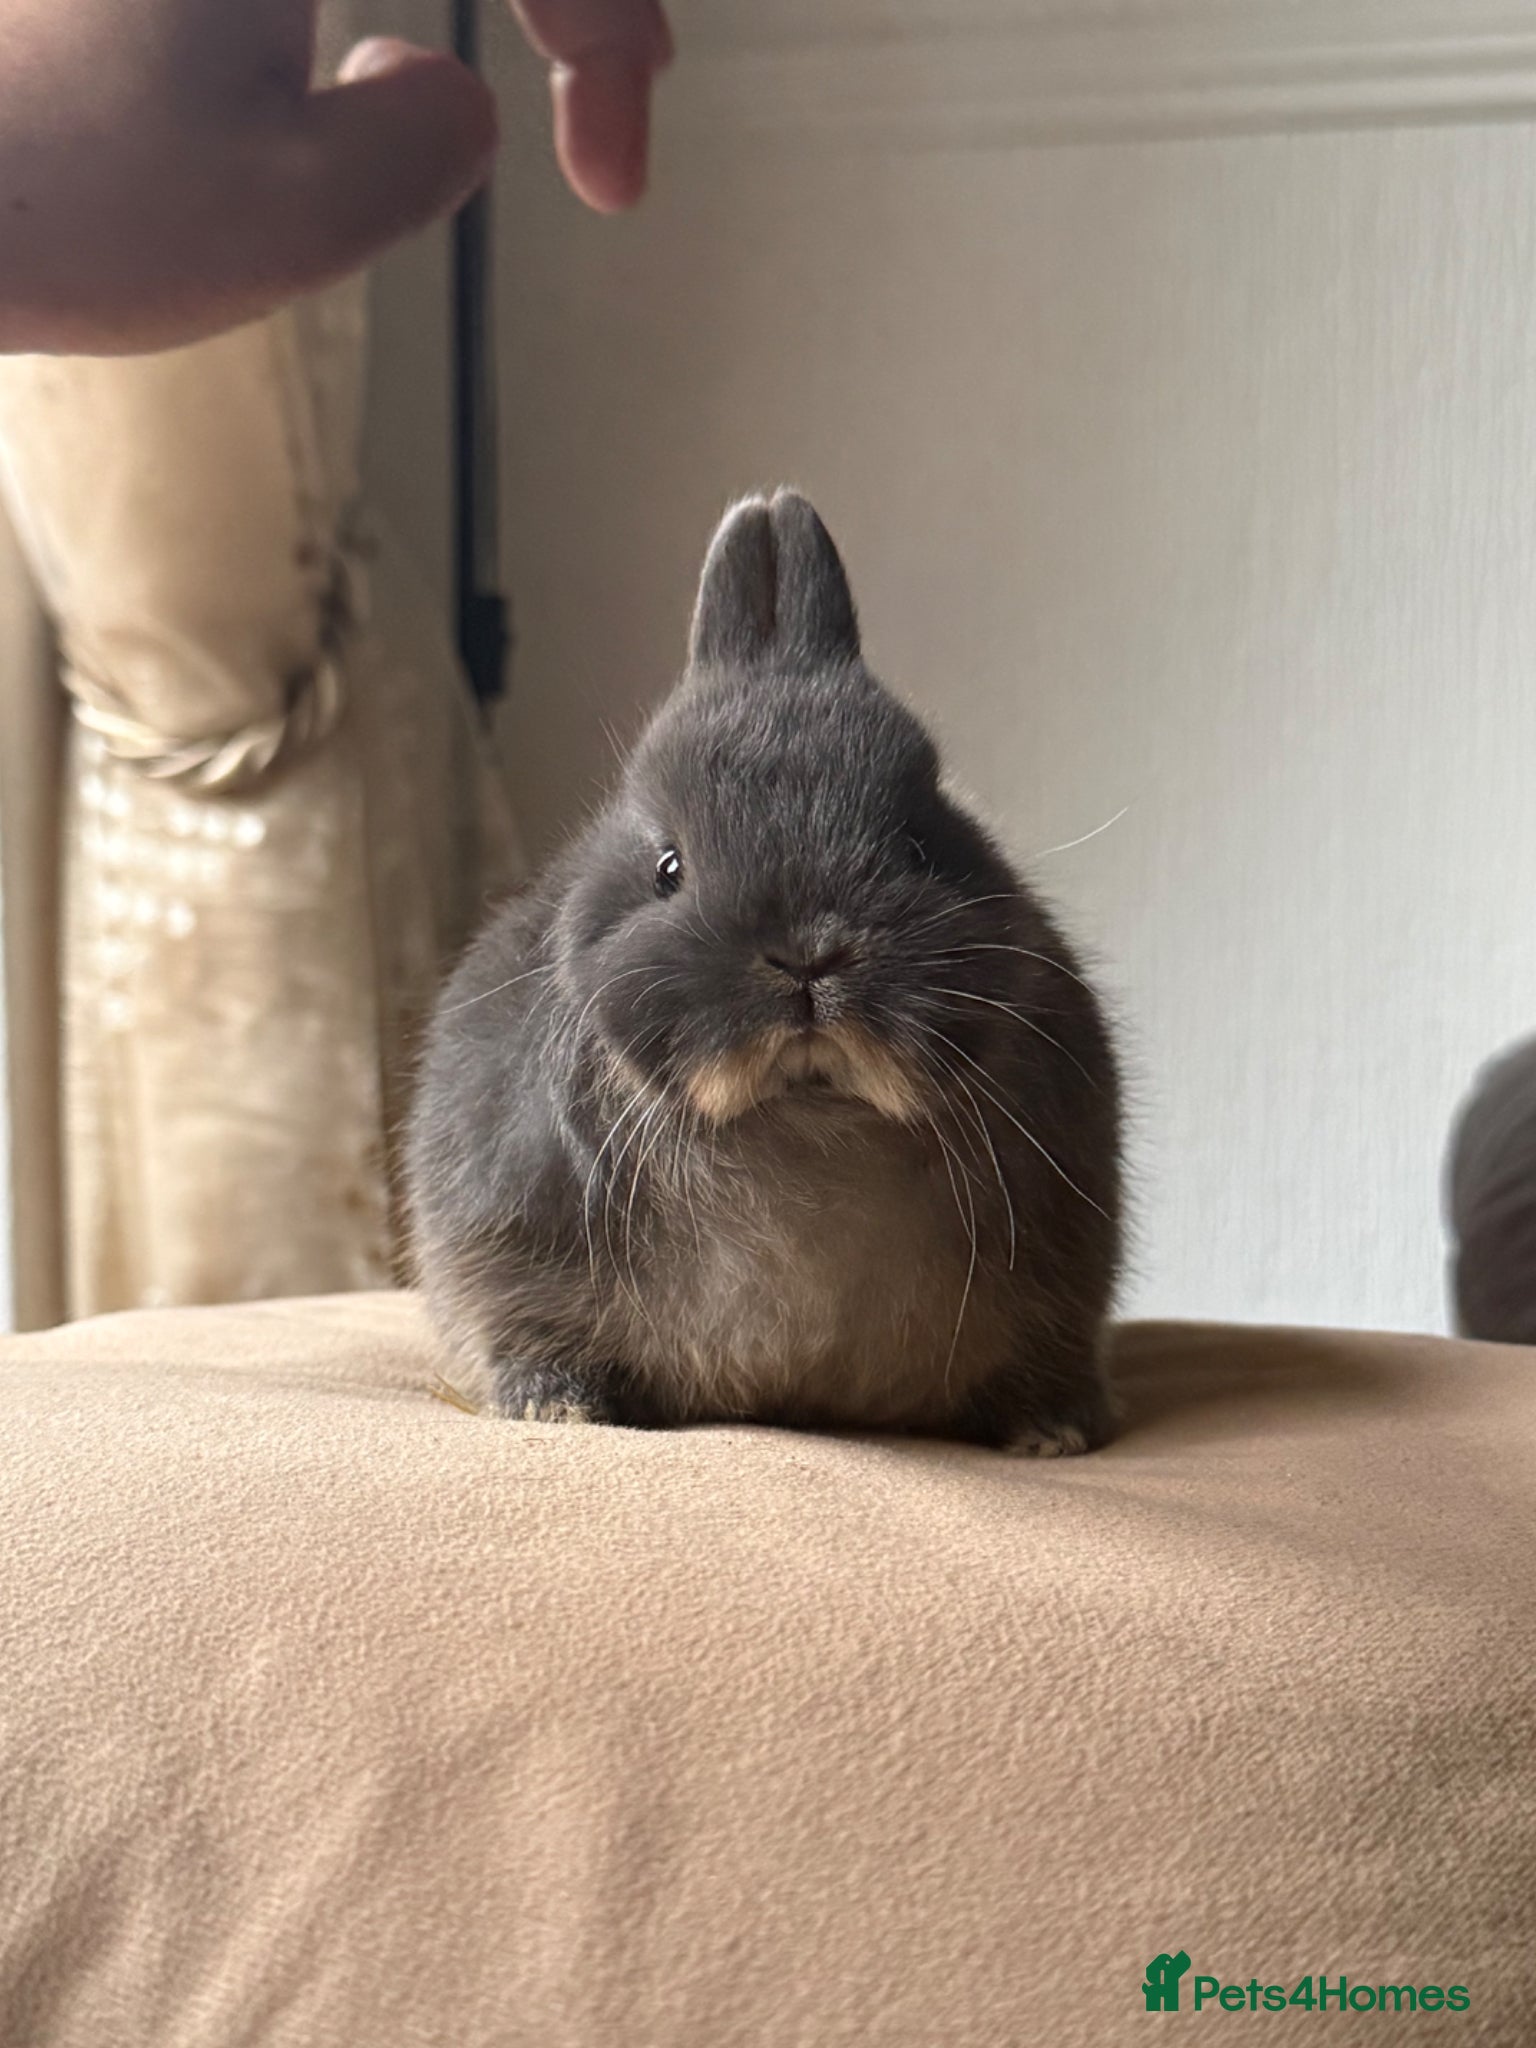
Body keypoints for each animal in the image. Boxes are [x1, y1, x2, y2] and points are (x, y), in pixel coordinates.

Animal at [406, 490, 1123, 1454]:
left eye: (920, 843)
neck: (804, 1113)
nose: (807, 954)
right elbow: (527, 1326)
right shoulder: (504, 1248)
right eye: (668, 867)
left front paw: (1053, 1432)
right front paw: (558, 1406)